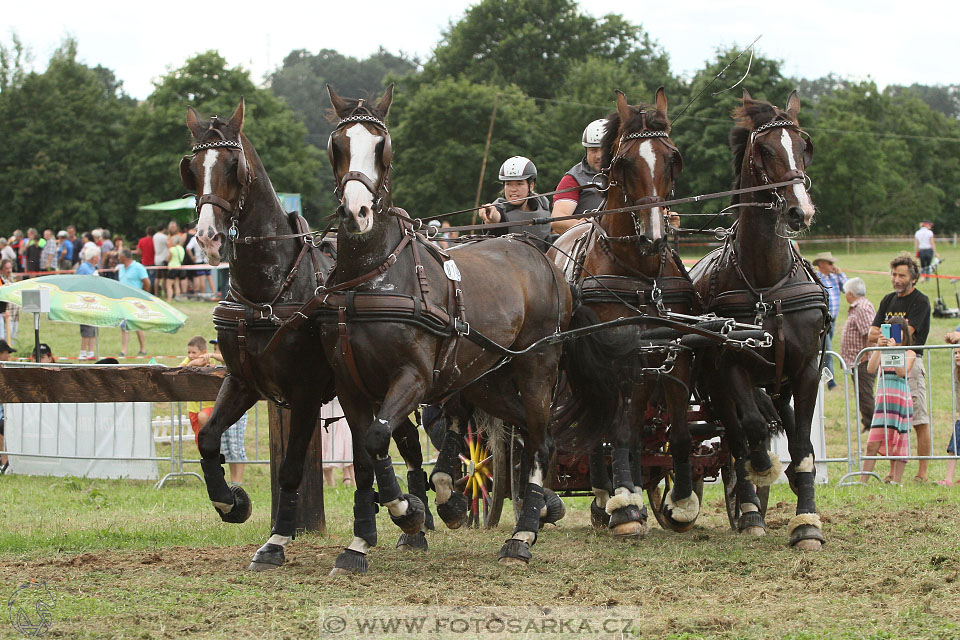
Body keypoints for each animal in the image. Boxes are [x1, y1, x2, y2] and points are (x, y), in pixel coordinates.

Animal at [179, 99, 436, 568]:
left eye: (232, 166)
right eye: (193, 168)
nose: (207, 236)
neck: (269, 290)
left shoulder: (303, 391)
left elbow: (292, 468)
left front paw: (277, 539)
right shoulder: (242, 381)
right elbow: (207, 438)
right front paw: (232, 502)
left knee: (399, 444)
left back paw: (411, 519)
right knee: (395, 444)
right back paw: (401, 524)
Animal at [318, 85, 572, 568]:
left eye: (382, 146)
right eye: (336, 146)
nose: (356, 212)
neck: (374, 276)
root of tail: (538, 253)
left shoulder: (413, 378)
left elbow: (378, 437)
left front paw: (408, 512)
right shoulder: (350, 385)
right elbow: (364, 455)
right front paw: (359, 543)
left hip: (538, 367)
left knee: (539, 438)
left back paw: (522, 536)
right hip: (485, 381)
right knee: (534, 433)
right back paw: (531, 508)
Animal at [552, 90, 700, 536]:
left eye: (672, 158)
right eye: (625, 163)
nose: (654, 237)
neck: (640, 272)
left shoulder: (675, 353)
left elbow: (677, 432)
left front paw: (680, 502)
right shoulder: (613, 355)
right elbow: (615, 431)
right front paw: (624, 507)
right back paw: (609, 495)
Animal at [688, 90, 828, 552]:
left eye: (804, 146)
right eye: (765, 150)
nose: (800, 212)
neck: (767, 282)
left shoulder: (805, 370)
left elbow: (802, 445)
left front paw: (807, 521)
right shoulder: (730, 366)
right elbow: (748, 429)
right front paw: (761, 469)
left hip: (778, 380)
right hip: (715, 384)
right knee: (735, 435)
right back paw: (749, 507)